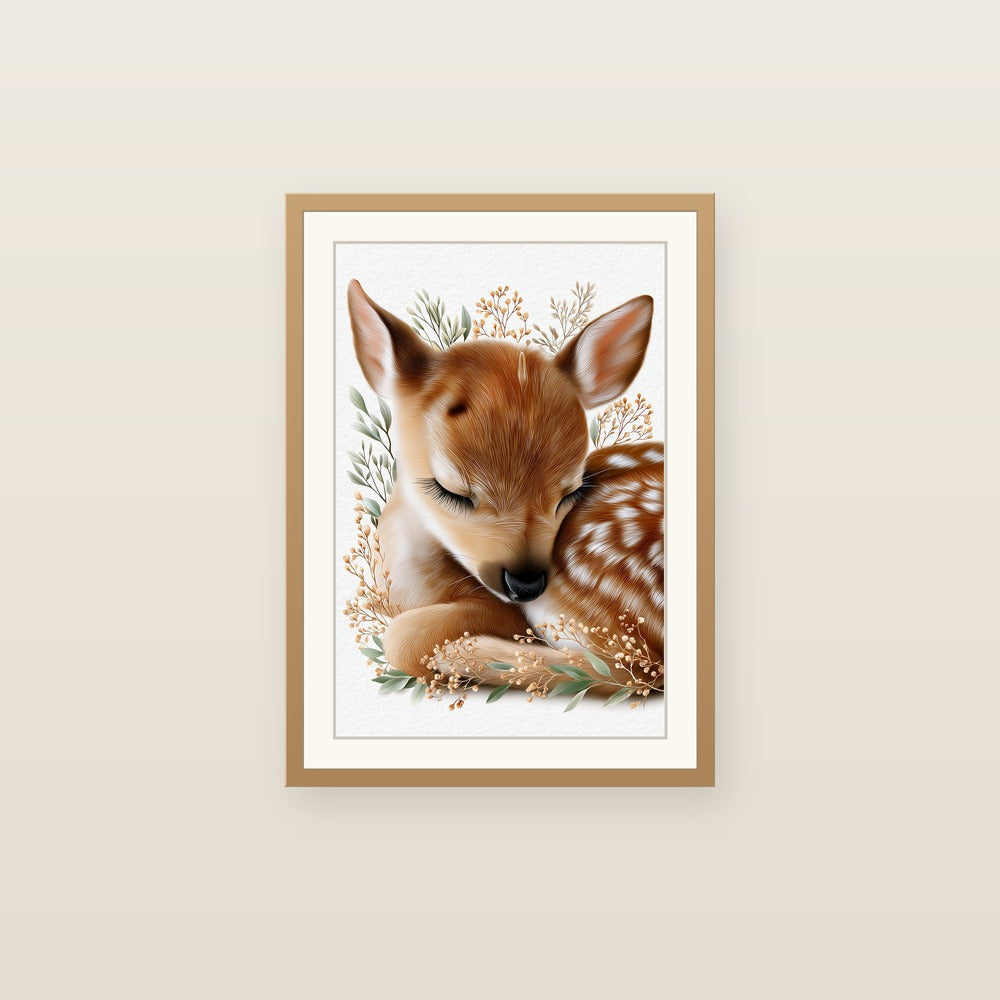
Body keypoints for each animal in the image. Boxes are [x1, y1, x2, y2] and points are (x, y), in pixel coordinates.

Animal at [347, 279, 664, 697]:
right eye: (449, 490)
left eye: (570, 493)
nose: (526, 584)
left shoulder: (506, 614)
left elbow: (403, 639)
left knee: (625, 670)